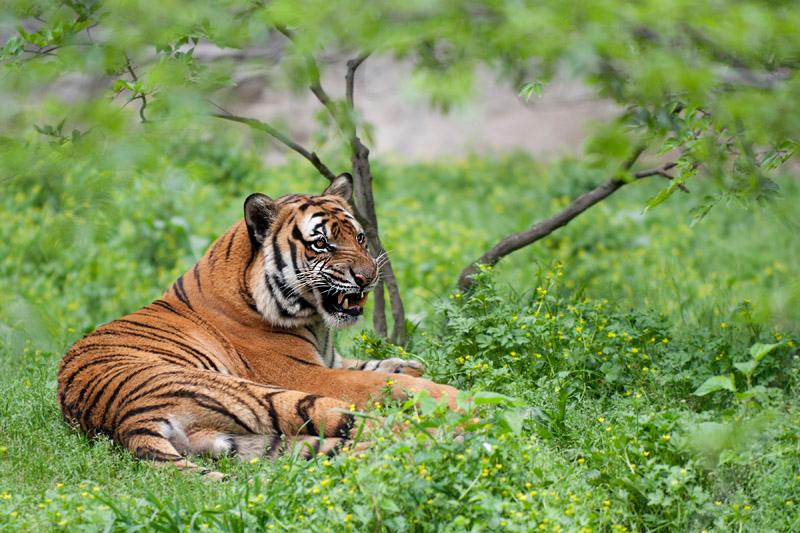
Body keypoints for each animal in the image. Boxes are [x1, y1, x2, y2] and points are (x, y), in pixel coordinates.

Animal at [57, 175, 456, 478]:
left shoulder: (332, 360)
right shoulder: (308, 374)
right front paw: (433, 388)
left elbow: (384, 365)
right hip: (269, 395)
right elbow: (381, 382)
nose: (368, 277)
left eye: (358, 237)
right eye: (322, 244)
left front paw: (410, 365)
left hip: (243, 440)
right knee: (373, 424)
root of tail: (123, 419)